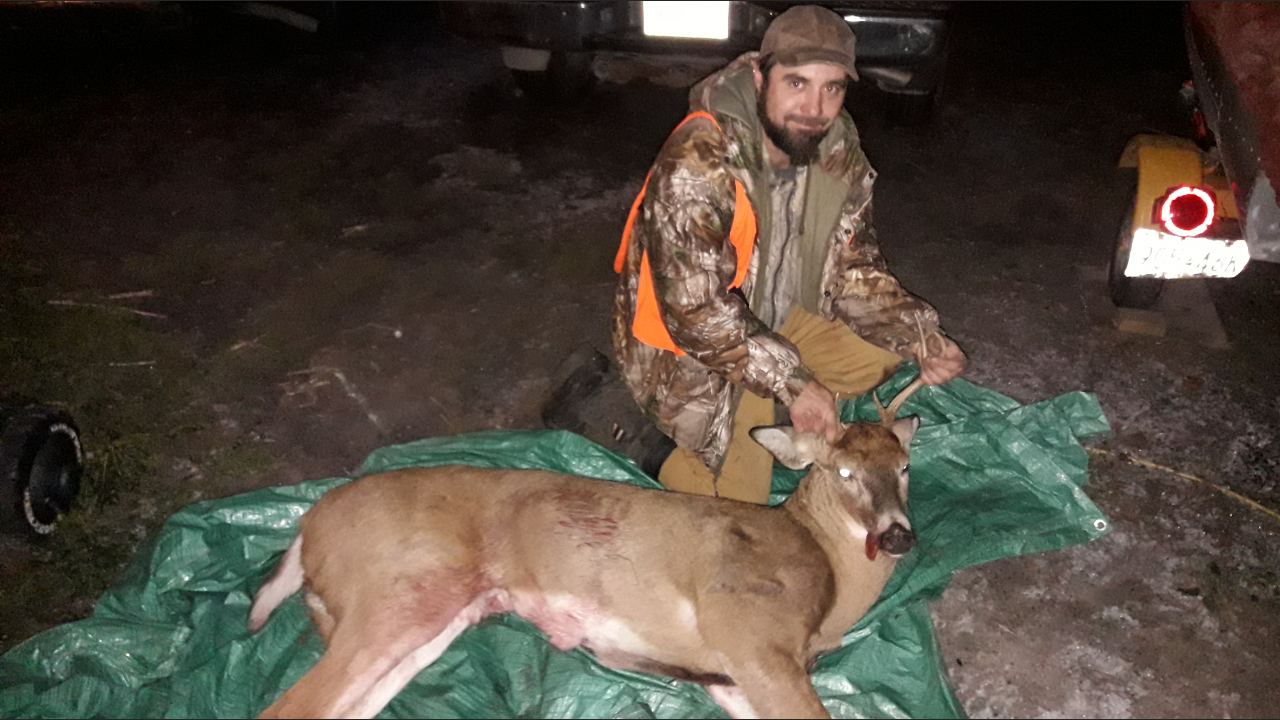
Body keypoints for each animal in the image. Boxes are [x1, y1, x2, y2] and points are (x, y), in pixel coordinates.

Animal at [247, 405, 923, 719]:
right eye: (842, 472)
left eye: (905, 466)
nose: (897, 537)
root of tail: (307, 526)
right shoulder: (750, 634)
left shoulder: (724, 676)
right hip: (401, 592)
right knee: (289, 707)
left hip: (436, 618)